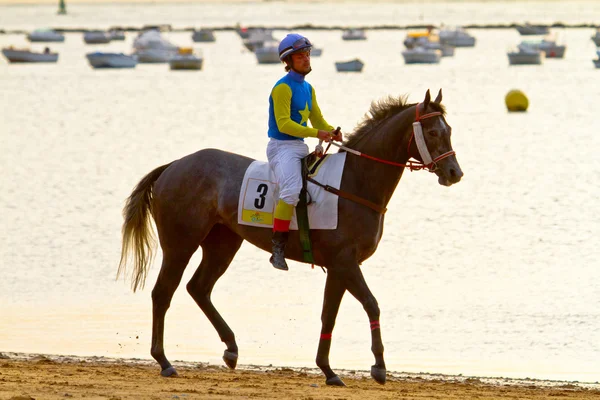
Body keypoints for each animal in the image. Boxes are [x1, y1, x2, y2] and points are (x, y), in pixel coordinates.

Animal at [117, 89, 464, 386]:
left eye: (448, 129)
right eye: (433, 133)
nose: (454, 173)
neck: (354, 182)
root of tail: (173, 165)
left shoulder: (338, 267)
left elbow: (328, 316)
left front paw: (328, 370)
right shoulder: (346, 262)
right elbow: (371, 305)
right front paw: (378, 367)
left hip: (223, 243)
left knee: (198, 288)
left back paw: (231, 348)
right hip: (180, 244)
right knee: (163, 293)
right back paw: (164, 361)